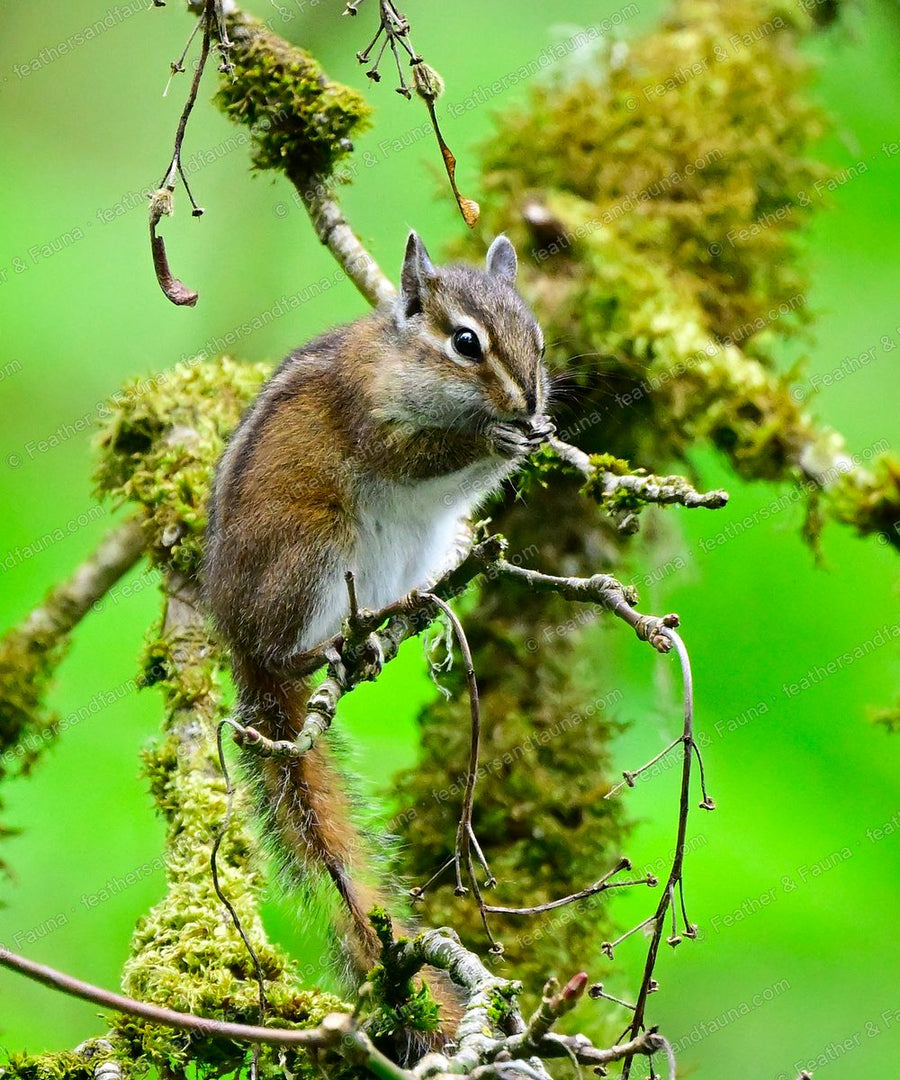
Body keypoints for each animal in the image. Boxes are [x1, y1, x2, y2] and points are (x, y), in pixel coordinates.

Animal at [202, 231, 553, 1011]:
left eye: (539, 338)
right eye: (465, 342)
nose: (529, 401)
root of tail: (236, 642)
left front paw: (542, 431)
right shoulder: (369, 415)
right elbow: (415, 454)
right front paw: (495, 441)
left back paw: (403, 615)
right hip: (314, 550)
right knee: (284, 649)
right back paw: (328, 648)